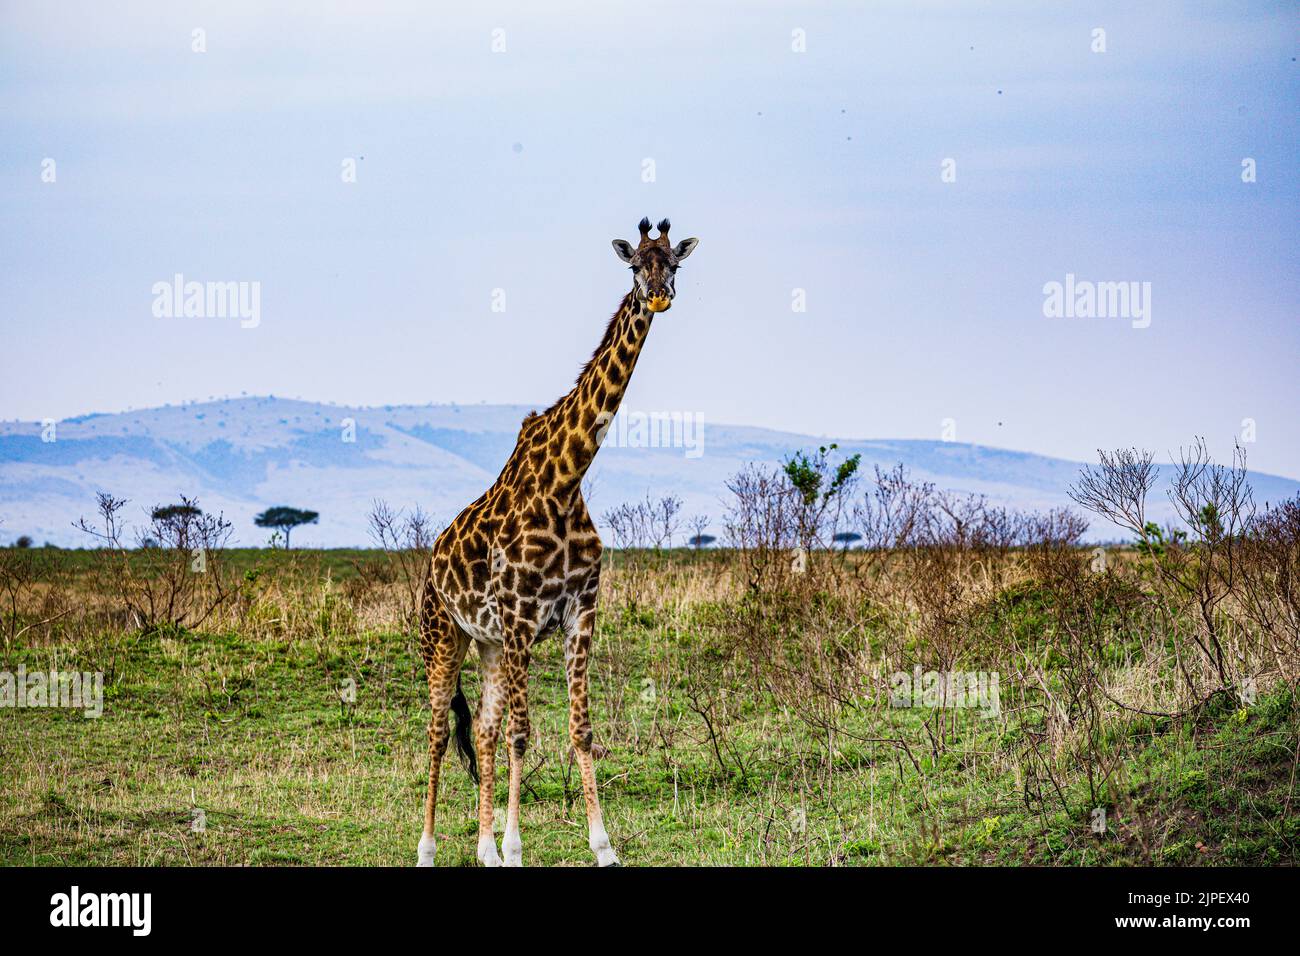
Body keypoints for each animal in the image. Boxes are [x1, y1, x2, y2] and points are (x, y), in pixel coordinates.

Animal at [415, 217, 699, 867]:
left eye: (674, 262)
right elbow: (523, 736)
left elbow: (580, 730)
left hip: (487, 645)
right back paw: (428, 848)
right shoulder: (522, 619)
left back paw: (483, 850)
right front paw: (518, 847)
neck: (566, 481)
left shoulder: (579, 613)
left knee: (482, 729)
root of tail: (432, 559)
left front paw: (602, 846)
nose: (658, 296)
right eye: (634, 265)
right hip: (444, 637)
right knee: (440, 732)